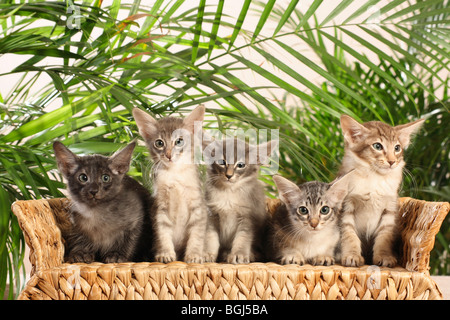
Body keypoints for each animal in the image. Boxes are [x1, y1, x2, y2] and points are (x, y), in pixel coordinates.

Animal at [131, 106, 207, 264]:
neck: (175, 175)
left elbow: (196, 235)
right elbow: (163, 234)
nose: (168, 155)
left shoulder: (198, 206)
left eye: (179, 141)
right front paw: (165, 254)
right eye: (159, 143)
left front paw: (194, 255)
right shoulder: (159, 208)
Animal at [340, 114, 424, 266]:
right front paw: (351, 255)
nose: (391, 161)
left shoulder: (389, 210)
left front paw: (384, 256)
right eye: (377, 146)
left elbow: (384, 236)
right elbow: (349, 234)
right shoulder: (345, 207)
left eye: (397, 148)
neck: (375, 178)